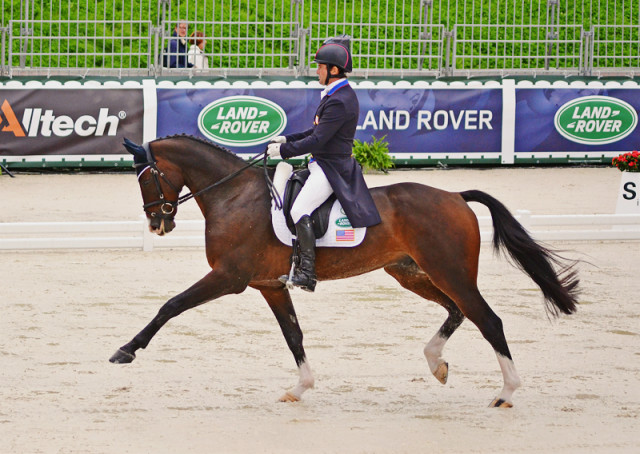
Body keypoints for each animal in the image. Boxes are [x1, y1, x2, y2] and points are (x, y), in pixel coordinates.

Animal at [111, 135, 580, 408]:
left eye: (147, 178)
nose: (157, 224)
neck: (235, 195)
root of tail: (454, 196)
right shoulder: (268, 285)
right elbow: (294, 335)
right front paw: (300, 388)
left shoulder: (230, 277)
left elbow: (170, 306)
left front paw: (125, 351)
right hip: (411, 272)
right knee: (458, 311)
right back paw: (436, 364)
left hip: (450, 271)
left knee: (489, 319)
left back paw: (506, 392)